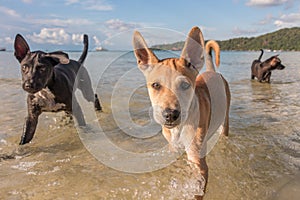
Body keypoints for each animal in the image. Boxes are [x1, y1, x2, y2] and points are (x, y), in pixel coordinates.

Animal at [132, 26, 231, 198]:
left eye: (185, 85)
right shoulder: (173, 149)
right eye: (156, 85)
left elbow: (197, 190)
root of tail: (213, 72)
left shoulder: (198, 162)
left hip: (225, 120)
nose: (170, 115)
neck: (179, 128)